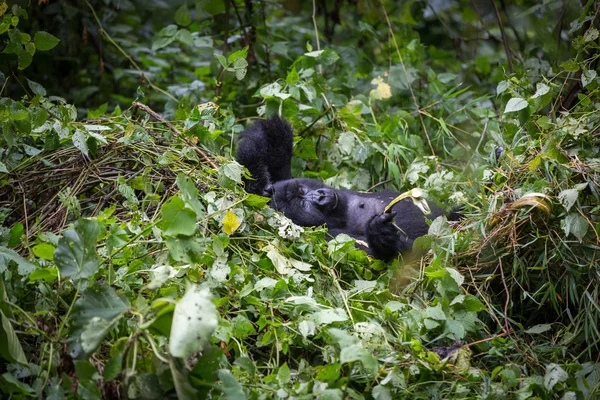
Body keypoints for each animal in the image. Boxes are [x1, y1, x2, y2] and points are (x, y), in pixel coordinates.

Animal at [237, 116, 448, 260]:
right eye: (304, 205)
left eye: (302, 190)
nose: (321, 197)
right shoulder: (327, 237)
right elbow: (375, 256)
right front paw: (383, 235)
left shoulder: (284, 177)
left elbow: (273, 131)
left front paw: (257, 181)